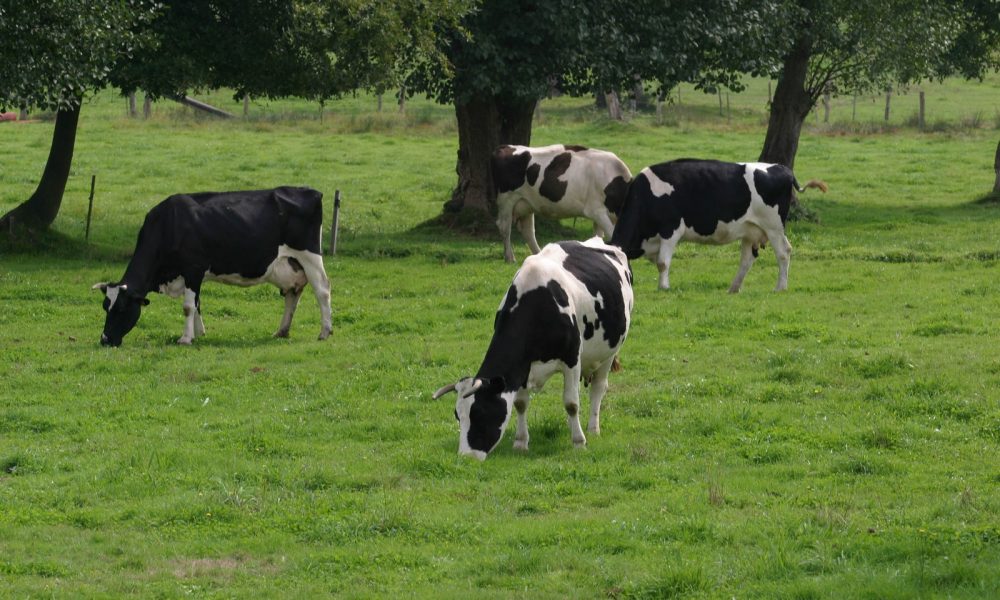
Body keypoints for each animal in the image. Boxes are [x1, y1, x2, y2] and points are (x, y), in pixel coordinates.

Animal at [93, 186, 332, 346]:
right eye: (105, 307)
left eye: (121, 308)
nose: (105, 339)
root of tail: (312, 192)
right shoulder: (192, 275)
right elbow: (197, 304)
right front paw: (198, 334)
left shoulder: (193, 268)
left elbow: (188, 306)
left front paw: (185, 338)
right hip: (292, 265)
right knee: (293, 295)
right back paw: (281, 331)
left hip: (309, 256)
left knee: (322, 290)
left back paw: (325, 331)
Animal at [430, 237, 632, 458]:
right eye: (458, 415)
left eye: (481, 413)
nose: (467, 457)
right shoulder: (522, 367)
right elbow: (520, 403)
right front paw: (520, 442)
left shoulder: (571, 359)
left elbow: (571, 403)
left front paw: (579, 442)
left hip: (609, 352)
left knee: (598, 387)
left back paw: (593, 429)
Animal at [492, 144, 632, 264]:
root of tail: (506, 147)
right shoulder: (597, 212)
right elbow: (612, 235)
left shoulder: (600, 216)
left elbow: (598, 238)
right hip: (506, 200)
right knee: (504, 227)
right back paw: (510, 257)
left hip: (526, 203)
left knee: (528, 231)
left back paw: (538, 254)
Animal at [608, 158, 828, 292]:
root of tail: (782, 168)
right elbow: (659, 262)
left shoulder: (671, 229)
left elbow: (663, 262)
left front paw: (664, 287)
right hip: (750, 231)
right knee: (747, 260)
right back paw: (733, 288)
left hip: (773, 227)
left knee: (784, 252)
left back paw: (780, 287)